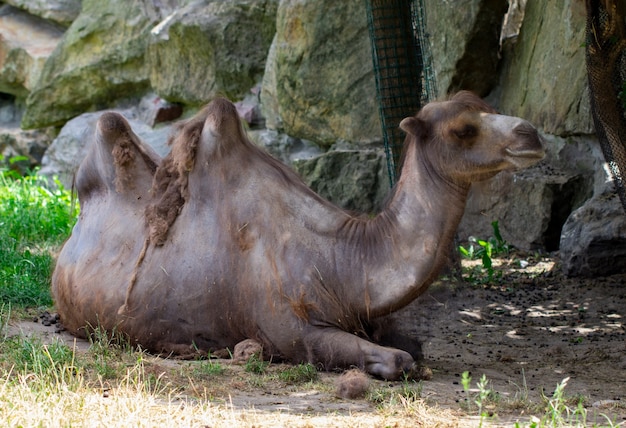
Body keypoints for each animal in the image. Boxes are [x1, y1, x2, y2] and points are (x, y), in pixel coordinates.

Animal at [52, 92, 540, 380]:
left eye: (488, 105)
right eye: (462, 129)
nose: (531, 133)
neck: (342, 259)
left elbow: (411, 346)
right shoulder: (291, 328)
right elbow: (399, 359)